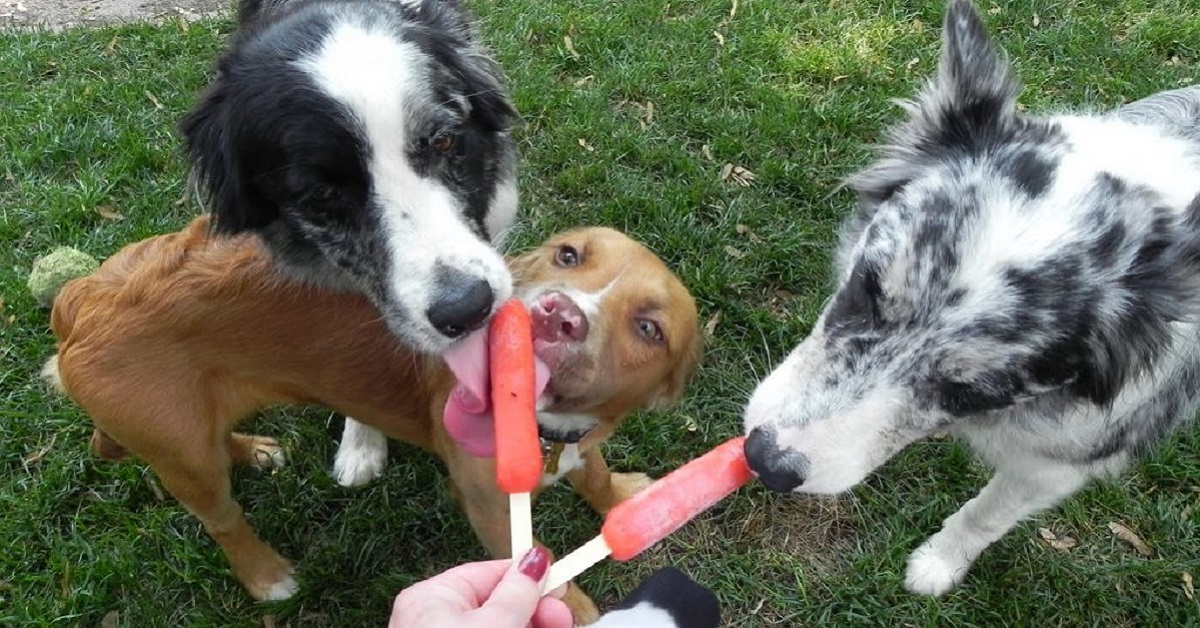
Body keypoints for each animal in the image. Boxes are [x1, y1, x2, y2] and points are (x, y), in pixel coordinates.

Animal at [46, 213, 700, 619]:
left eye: (648, 328)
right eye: (568, 255)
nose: (557, 314)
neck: (546, 431)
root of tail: (82, 300)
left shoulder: (580, 442)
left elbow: (596, 474)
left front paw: (627, 497)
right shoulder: (490, 509)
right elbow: (542, 565)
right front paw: (580, 609)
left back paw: (253, 449)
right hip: (188, 463)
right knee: (223, 521)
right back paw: (267, 575)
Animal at [739, 0, 1200, 600]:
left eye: (970, 389)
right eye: (866, 286)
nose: (767, 460)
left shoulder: (1065, 458)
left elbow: (988, 513)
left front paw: (937, 564)